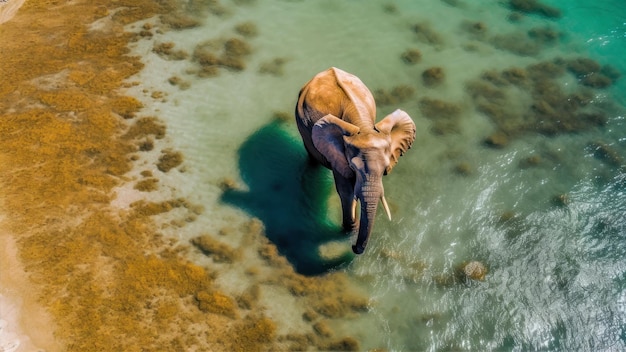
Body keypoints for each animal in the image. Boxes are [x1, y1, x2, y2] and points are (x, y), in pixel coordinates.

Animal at [294, 66, 414, 253]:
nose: (353, 247)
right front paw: (349, 231)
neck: (363, 127)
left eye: (385, 169)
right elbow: (346, 191)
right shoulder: (339, 156)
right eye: (354, 167)